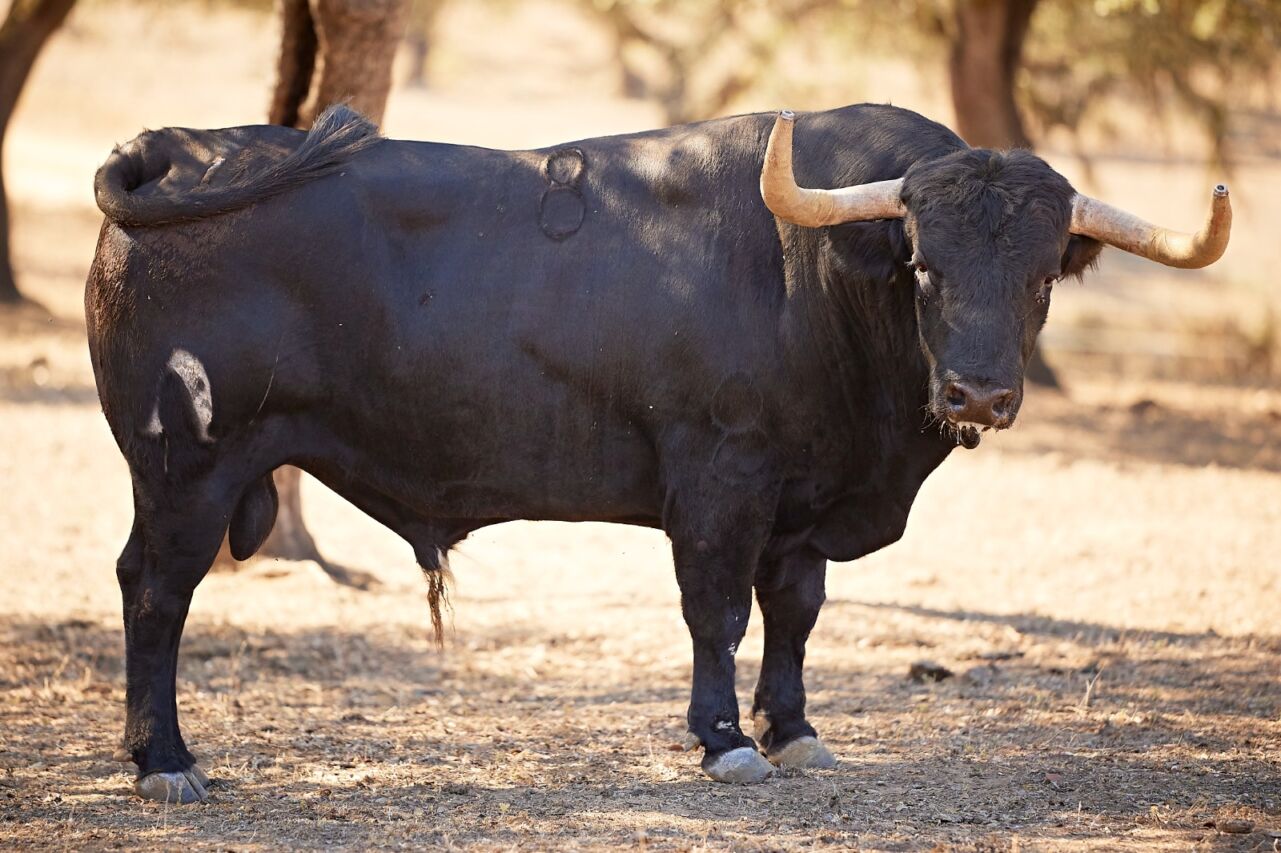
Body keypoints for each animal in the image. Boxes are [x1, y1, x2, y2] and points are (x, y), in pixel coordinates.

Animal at [85, 103, 1193, 799]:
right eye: (922, 265)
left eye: (1042, 276)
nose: (979, 393)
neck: (813, 274)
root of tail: (179, 147)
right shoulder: (719, 478)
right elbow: (718, 611)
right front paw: (725, 741)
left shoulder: (801, 505)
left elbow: (795, 616)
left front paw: (795, 731)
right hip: (185, 468)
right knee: (154, 591)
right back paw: (162, 759)